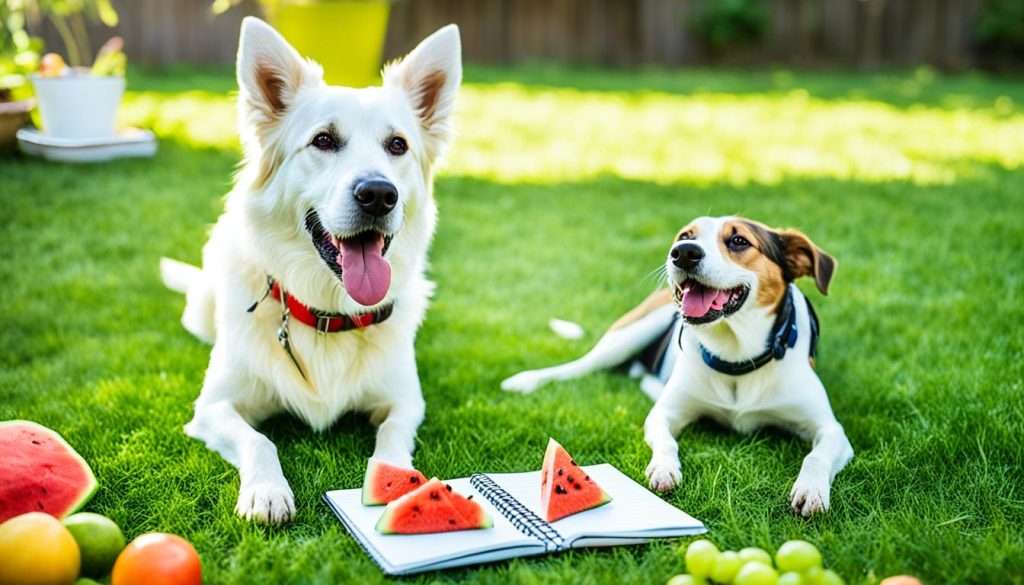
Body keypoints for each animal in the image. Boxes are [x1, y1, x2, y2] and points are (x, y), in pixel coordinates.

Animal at [499, 216, 851, 516]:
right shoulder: (664, 414)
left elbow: (816, 455)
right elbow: (667, 440)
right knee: (579, 366)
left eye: (738, 240)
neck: (736, 358)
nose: (683, 253)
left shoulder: (832, 430)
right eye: (685, 236)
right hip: (630, 333)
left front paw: (811, 489)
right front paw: (664, 468)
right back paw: (526, 380)